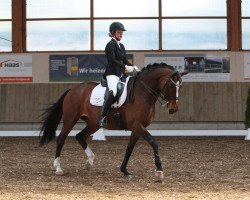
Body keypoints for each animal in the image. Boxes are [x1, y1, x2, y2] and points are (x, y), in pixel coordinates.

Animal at [39, 63, 188, 183]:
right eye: (171, 85)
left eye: (180, 86)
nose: (173, 109)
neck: (143, 93)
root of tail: (73, 89)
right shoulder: (137, 125)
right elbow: (153, 142)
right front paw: (159, 171)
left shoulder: (137, 128)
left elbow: (129, 148)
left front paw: (124, 171)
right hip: (70, 119)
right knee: (61, 139)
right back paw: (58, 168)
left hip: (94, 123)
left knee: (80, 136)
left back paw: (89, 162)